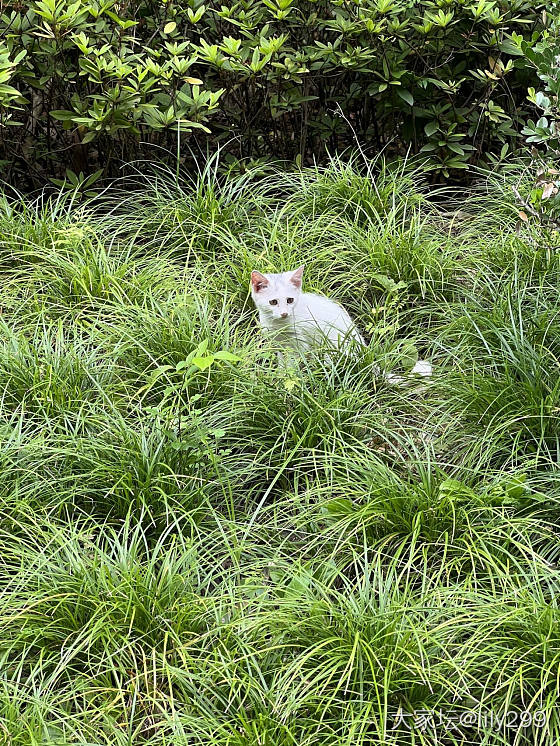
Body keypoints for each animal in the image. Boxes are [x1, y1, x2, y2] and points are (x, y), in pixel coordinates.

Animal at [250, 264, 434, 380]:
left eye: (290, 300)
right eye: (273, 302)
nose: (284, 313)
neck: (279, 326)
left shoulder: (299, 345)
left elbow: (293, 364)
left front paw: (286, 379)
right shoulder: (279, 346)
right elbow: (283, 362)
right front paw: (279, 376)